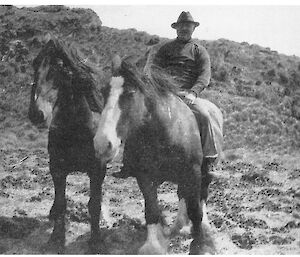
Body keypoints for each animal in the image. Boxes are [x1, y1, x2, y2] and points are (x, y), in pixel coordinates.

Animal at [27, 35, 106, 252]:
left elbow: (94, 203)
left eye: (60, 67)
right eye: (35, 64)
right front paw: (56, 238)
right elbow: (62, 202)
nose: (36, 113)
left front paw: (96, 241)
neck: (77, 130)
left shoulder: (97, 170)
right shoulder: (57, 167)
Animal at [94, 55, 223, 253]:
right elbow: (152, 209)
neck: (166, 131)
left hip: (203, 173)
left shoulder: (192, 173)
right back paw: (177, 226)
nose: (102, 144)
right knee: (183, 196)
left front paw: (200, 245)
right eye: (104, 92)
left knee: (201, 195)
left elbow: (195, 210)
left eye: (130, 93)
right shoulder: (145, 176)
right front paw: (154, 245)